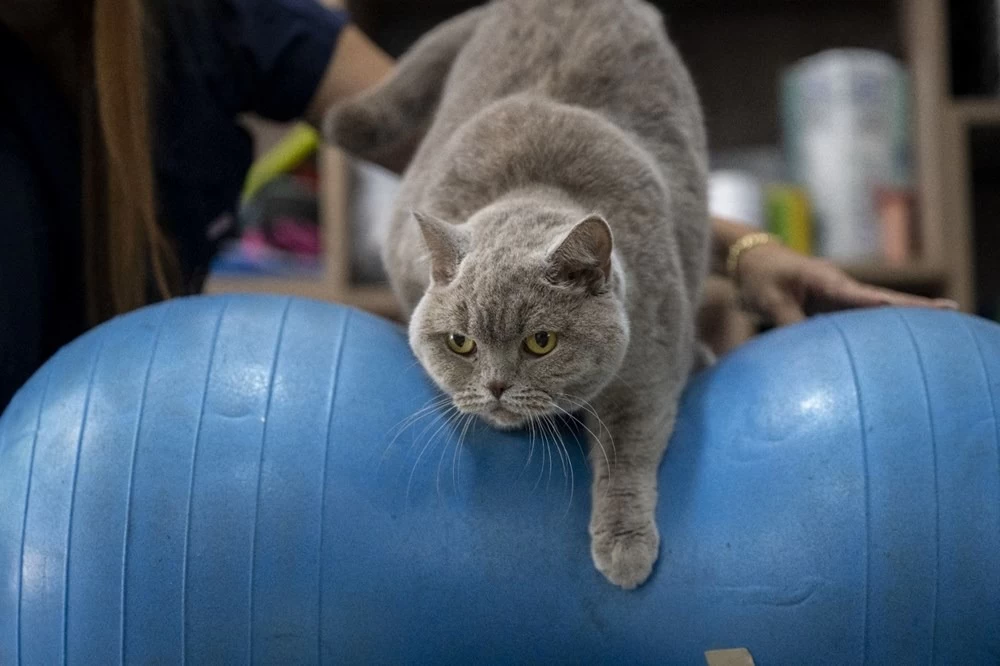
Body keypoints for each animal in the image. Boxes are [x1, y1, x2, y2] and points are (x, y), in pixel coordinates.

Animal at [324, 0, 708, 588]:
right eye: (459, 343)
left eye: (541, 342)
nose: (497, 387)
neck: (532, 186)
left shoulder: (648, 362)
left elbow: (627, 450)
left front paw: (624, 547)